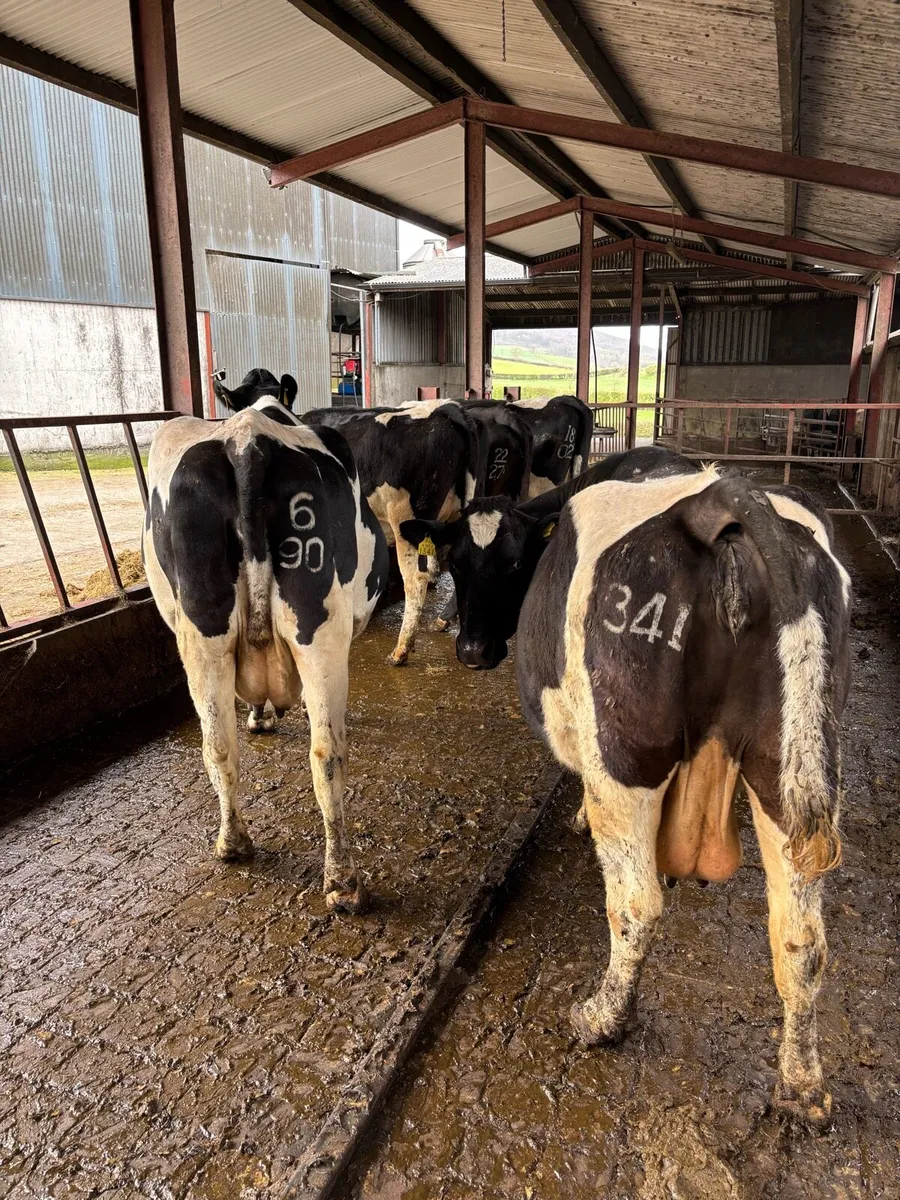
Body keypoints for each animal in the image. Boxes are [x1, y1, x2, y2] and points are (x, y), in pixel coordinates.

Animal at [142, 399, 388, 913]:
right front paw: (269, 714)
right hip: (319, 633)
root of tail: (246, 442)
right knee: (327, 753)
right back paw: (343, 881)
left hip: (203, 638)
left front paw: (259, 716)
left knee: (219, 746)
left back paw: (233, 844)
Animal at [406, 459, 851, 1124]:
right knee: (801, 938)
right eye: (456, 560)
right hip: (792, 772)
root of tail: (722, 499)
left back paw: (601, 1017)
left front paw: (575, 819)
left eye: (510, 564)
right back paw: (801, 1085)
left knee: (636, 904)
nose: (473, 650)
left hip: (625, 756)